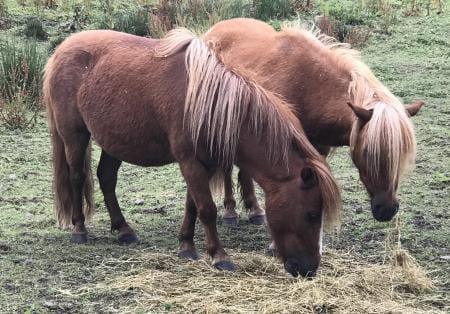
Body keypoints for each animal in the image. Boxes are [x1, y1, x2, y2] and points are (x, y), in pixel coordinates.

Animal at [44, 28, 342, 276]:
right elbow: (207, 209)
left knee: (106, 178)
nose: (309, 269)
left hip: (114, 142)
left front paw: (186, 246)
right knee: (77, 178)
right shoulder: (190, 162)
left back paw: (124, 230)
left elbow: (192, 205)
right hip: (75, 135)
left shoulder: (203, 164)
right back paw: (79, 229)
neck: (212, 106)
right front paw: (219, 256)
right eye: (311, 214)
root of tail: (62, 49)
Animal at [204, 18, 422, 226]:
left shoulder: (318, 149)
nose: (386, 210)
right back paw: (230, 211)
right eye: (368, 152)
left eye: (403, 152)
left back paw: (255, 210)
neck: (311, 86)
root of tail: (211, 32)